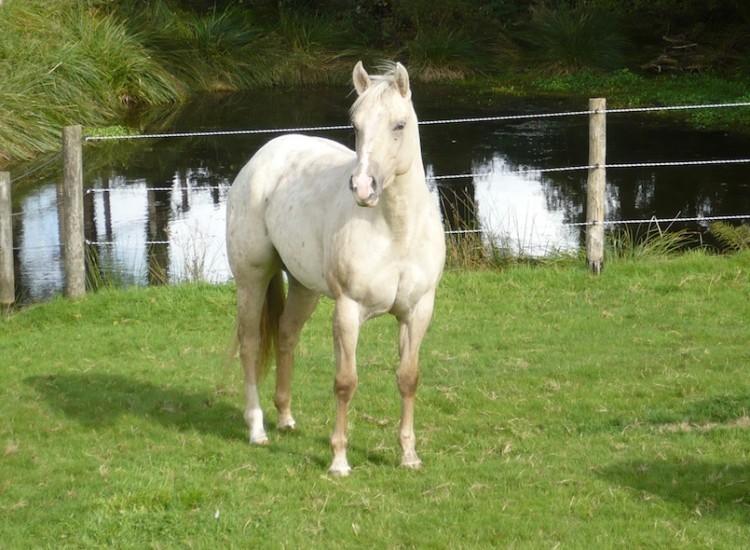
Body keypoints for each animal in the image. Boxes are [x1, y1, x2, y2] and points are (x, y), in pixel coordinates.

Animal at [225, 61, 445, 476]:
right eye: (355, 125)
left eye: (399, 125)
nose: (363, 188)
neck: (396, 230)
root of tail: (264, 156)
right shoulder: (347, 310)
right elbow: (345, 382)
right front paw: (339, 460)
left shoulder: (418, 311)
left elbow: (408, 378)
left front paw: (409, 455)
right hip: (251, 279)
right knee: (251, 345)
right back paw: (257, 428)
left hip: (304, 287)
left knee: (286, 334)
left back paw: (285, 417)